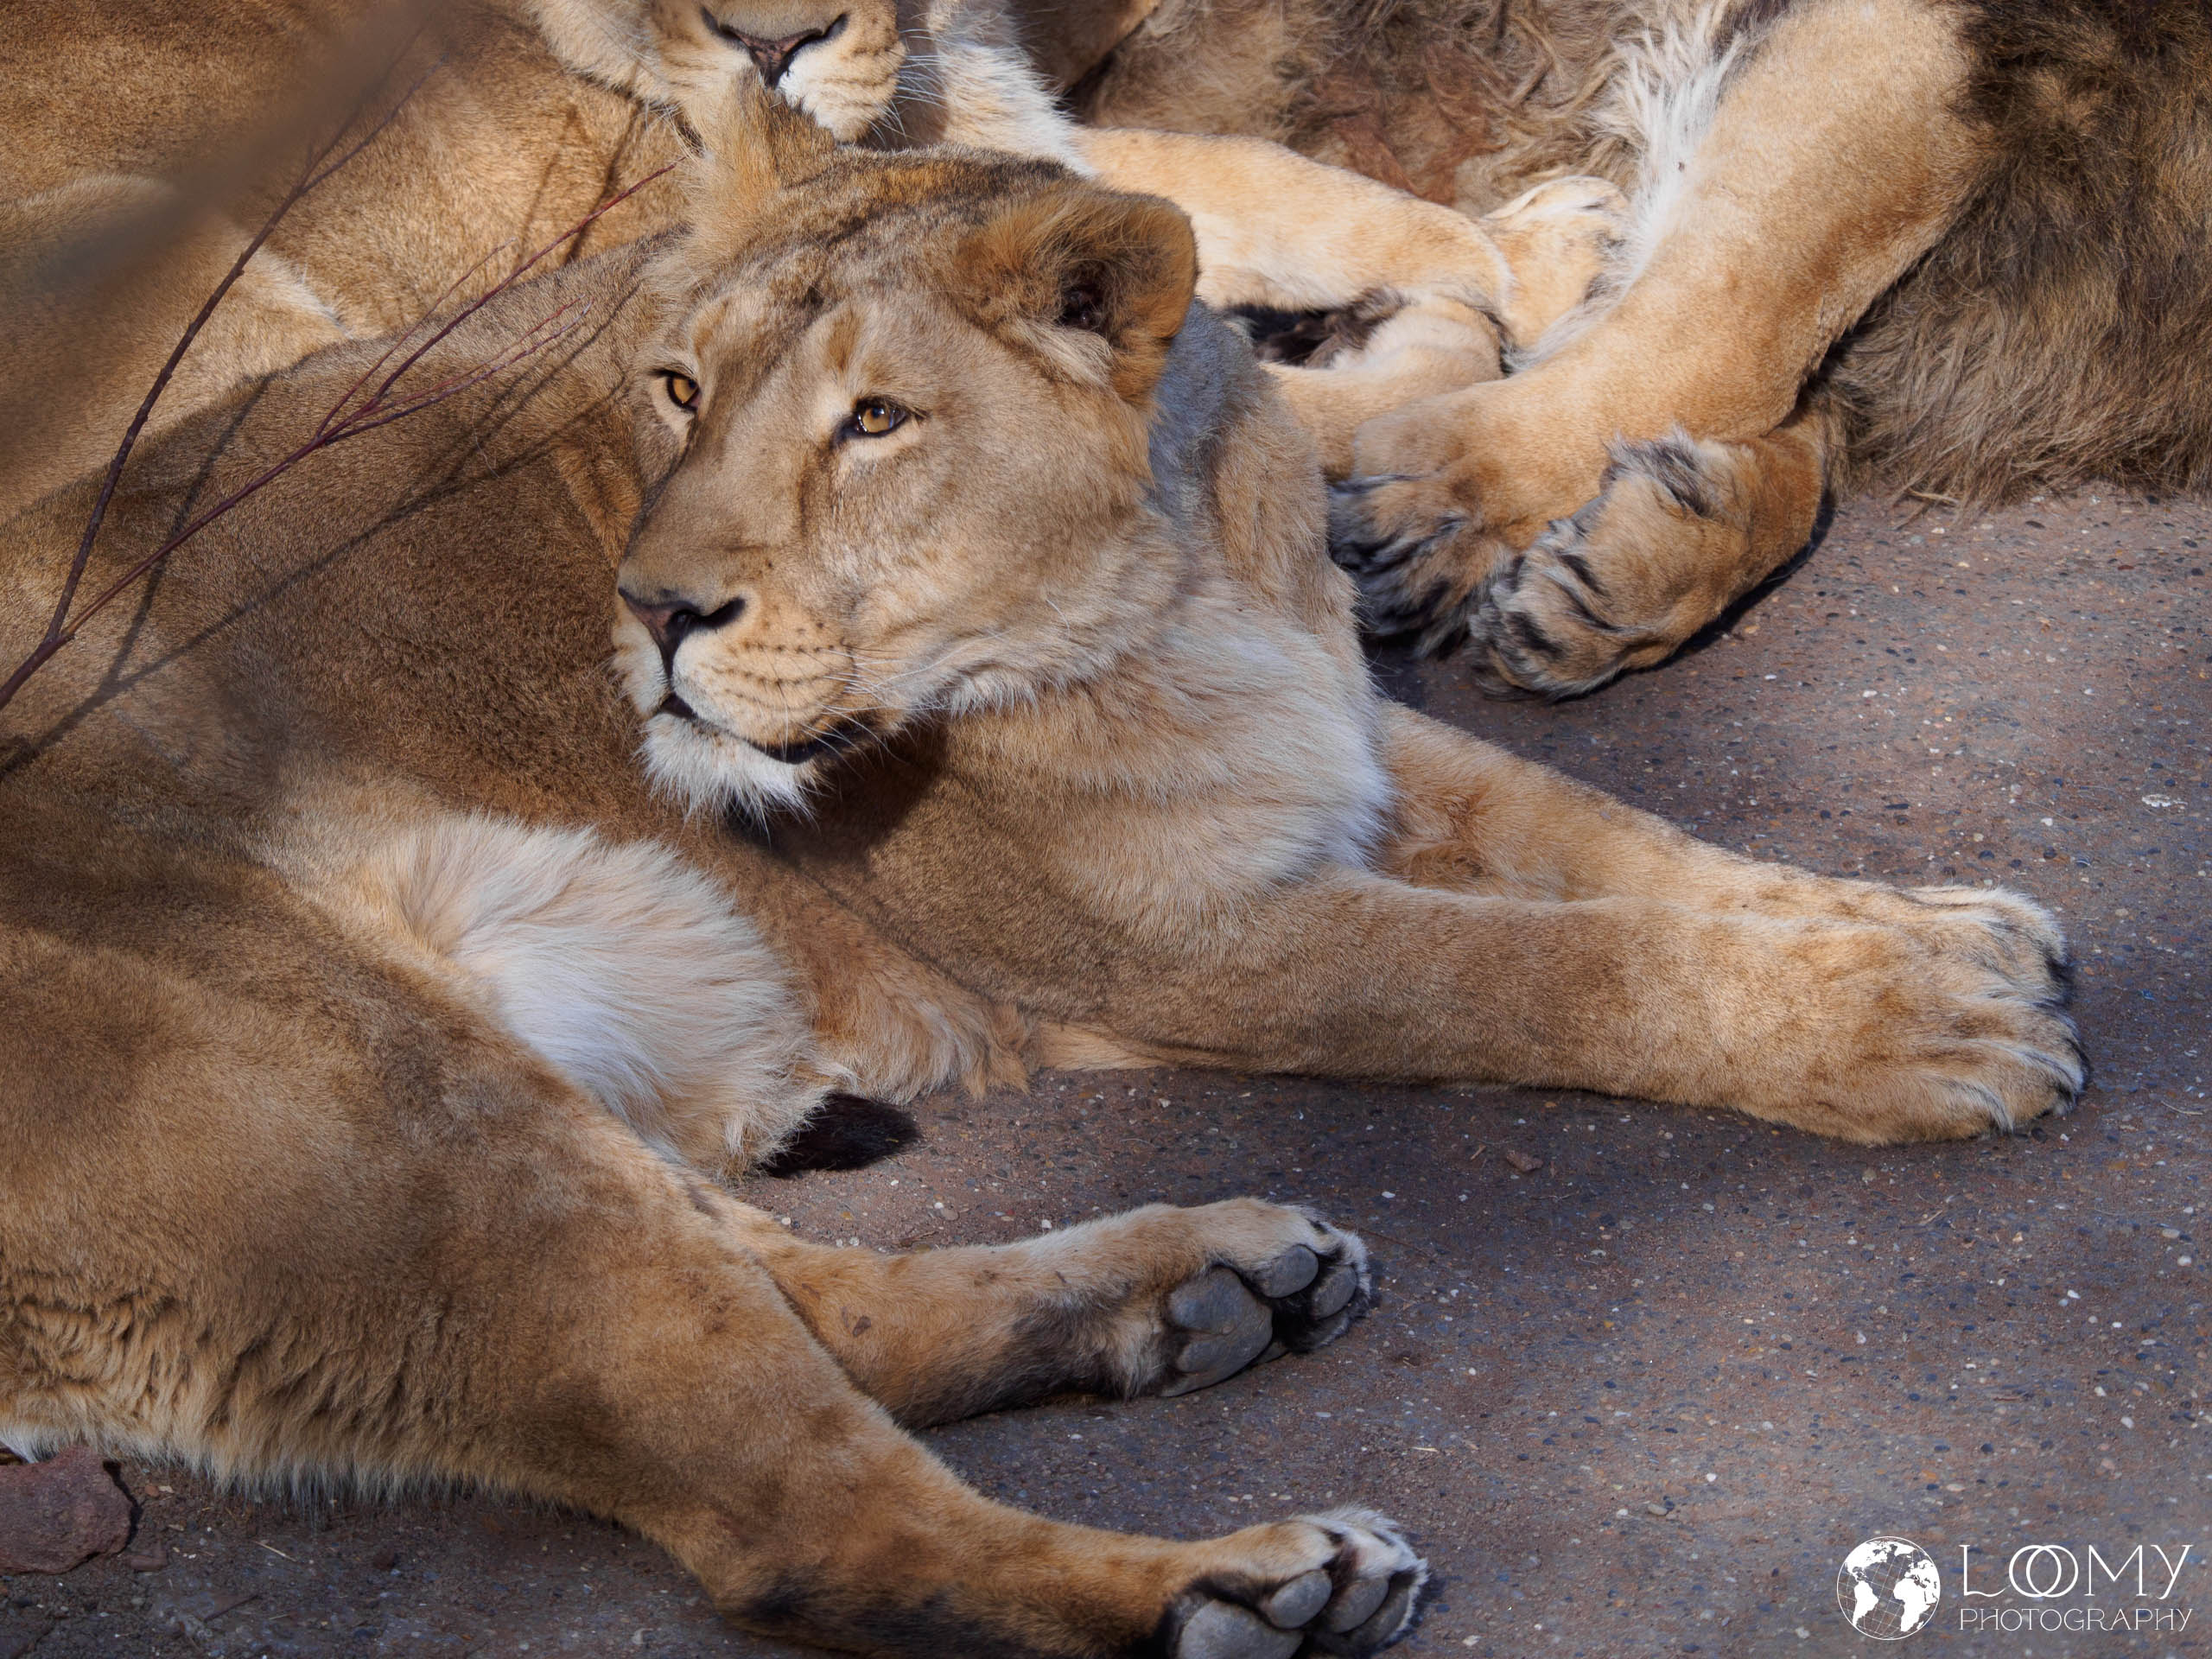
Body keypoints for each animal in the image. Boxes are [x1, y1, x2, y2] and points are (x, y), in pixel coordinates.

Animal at [1, 85, 2079, 1652]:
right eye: (676, 389)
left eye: (874, 420)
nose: (656, 615)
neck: (1175, 590)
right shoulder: (1178, 955)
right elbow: (1553, 968)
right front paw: (1917, 1025)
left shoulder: (1326, 746)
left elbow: (1619, 846)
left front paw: (1930, 933)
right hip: (383, 1104)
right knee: (803, 1526)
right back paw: (1242, 1587)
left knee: (806, 1306)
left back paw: (1202, 1286)